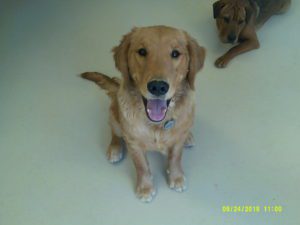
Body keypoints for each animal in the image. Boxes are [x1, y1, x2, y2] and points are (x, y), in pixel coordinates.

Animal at [81, 25, 205, 202]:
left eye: (175, 53)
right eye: (142, 51)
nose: (158, 87)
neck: (157, 124)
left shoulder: (176, 143)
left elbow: (175, 157)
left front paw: (176, 177)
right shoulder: (134, 143)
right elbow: (141, 167)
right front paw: (145, 188)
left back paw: (188, 136)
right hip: (114, 116)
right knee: (114, 131)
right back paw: (115, 148)